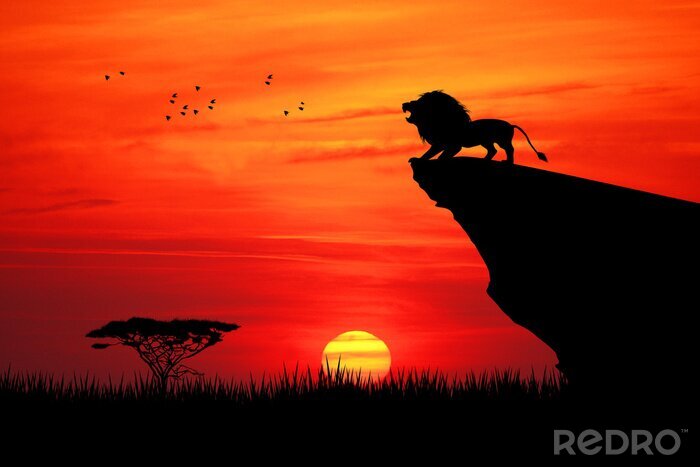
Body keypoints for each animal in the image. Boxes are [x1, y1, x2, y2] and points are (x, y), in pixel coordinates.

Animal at [402, 90, 547, 164]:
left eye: (417, 103)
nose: (404, 104)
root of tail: (511, 125)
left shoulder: (454, 146)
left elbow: (440, 155)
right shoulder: (439, 144)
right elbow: (429, 153)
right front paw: (417, 159)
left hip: (502, 140)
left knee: (509, 149)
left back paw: (507, 162)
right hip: (486, 142)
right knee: (493, 150)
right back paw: (485, 160)